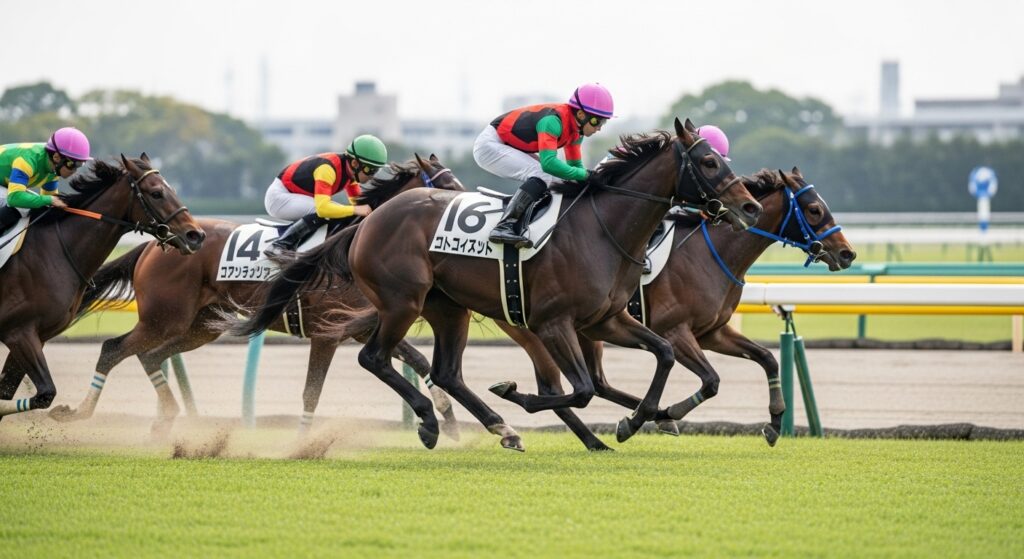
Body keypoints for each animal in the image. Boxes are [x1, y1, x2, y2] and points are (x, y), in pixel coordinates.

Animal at [0, 155, 205, 420]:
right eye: (156, 193)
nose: (196, 235)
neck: (54, 251)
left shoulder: (35, 336)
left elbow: (10, 391)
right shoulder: (19, 332)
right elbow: (44, 393)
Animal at [49, 155, 465, 437]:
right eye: (446, 186)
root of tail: (157, 244)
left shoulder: (362, 326)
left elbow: (418, 361)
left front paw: (447, 415)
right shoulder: (328, 333)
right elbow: (312, 392)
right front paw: (302, 442)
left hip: (202, 326)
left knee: (149, 356)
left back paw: (165, 422)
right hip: (164, 317)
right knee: (114, 349)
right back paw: (81, 412)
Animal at [235, 118, 764, 451]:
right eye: (710, 163)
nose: (751, 206)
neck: (602, 229)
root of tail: (367, 221)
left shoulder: (608, 319)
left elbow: (663, 354)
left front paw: (637, 421)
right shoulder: (554, 323)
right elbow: (580, 389)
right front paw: (518, 393)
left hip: (448, 308)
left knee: (446, 372)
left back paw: (499, 428)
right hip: (402, 301)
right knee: (375, 358)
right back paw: (433, 422)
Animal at [492, 167, 857, 449]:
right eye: (813, 209)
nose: (847, 253)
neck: (712, 254)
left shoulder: (713, 332)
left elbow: (767, 358)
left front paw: (774, 423)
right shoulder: (676, 331)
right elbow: (711, 380)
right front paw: (665, 413)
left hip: (586, 327)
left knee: (595, 382)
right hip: (537, 327)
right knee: (563, 385)